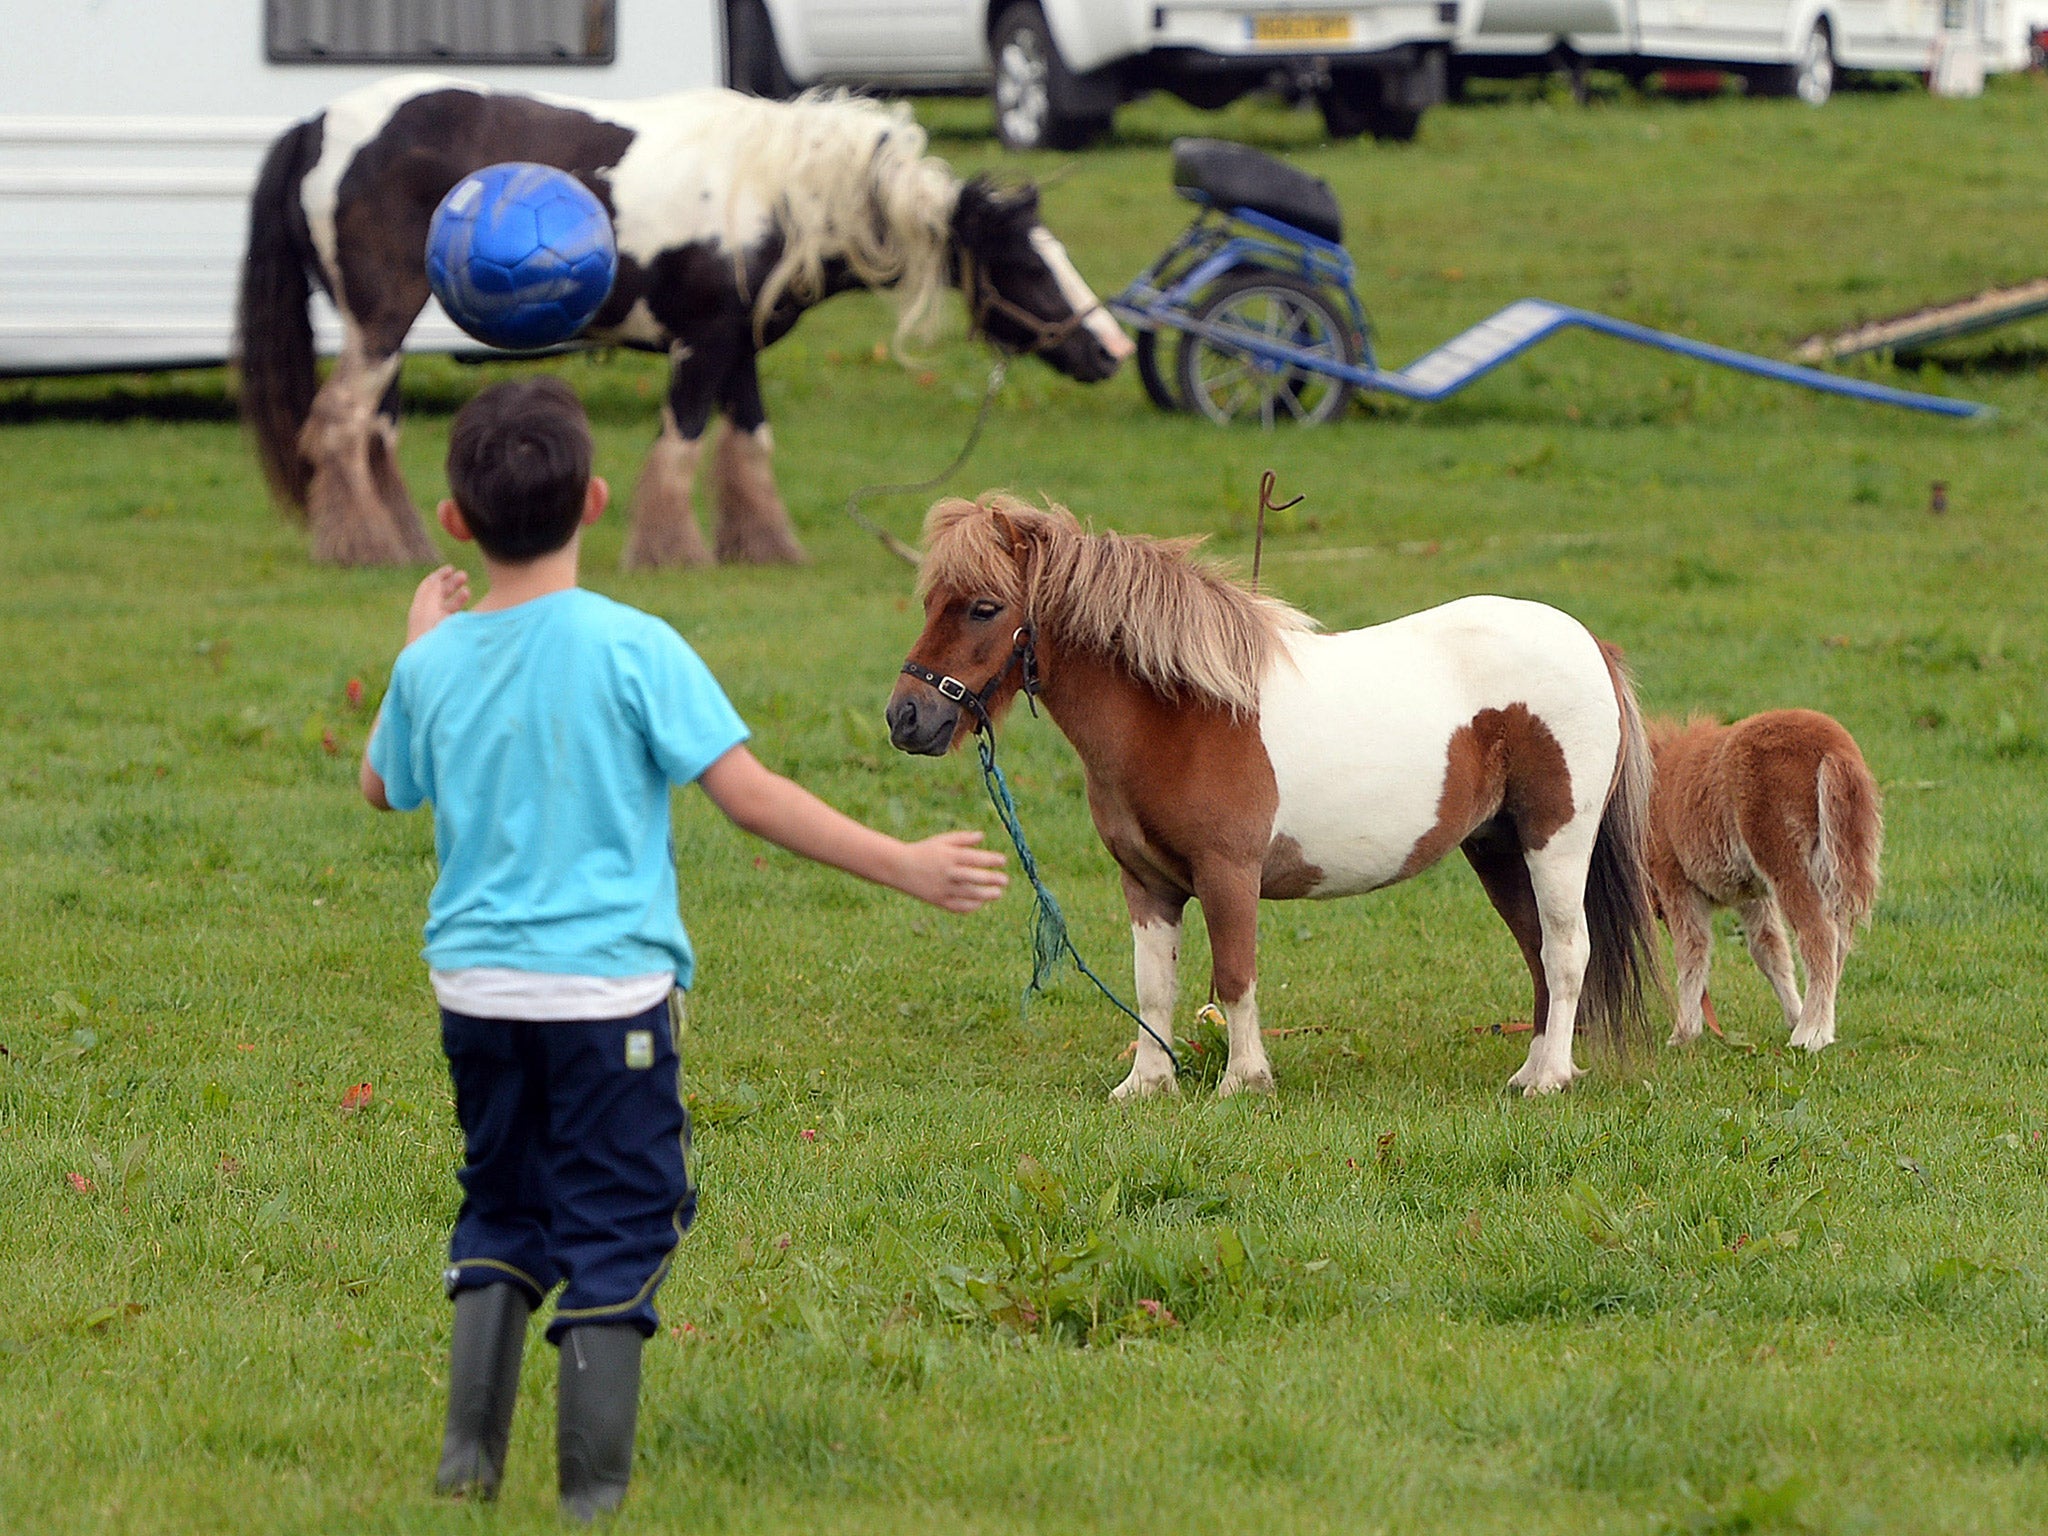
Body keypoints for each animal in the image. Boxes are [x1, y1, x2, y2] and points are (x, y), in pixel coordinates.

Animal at [245, 75, 1138, 569]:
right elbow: (679, 448)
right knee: (338, 426)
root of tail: (317, 127)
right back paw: (359, 550)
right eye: (1028, 266)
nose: (1113, 349)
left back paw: (400, 545)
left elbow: (749, 449)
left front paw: (764, 548)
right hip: (382, 322)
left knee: (374, 434)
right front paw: (670, 553)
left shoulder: (738, 349)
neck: (777, 192)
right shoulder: (700, 347)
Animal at [888, 499, 1654, 1097]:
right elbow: (1153, 987)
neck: (1181, 714)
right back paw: (1532, 1070)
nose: (906, 718)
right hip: (1496, 848)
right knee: (1537, 953)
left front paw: (1244, 1080)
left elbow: (1233, 976)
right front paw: (1146, 1085)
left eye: (984, 608)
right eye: (928, 602)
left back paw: (1550, 1079)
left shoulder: (1229, 874)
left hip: (1555, 840)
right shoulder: (1146, 883)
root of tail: (1589, 642)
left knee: (1566, 950)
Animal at [1654, 712, 1875, 1056]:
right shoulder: (1751, 892)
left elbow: (1692, 947)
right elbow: (1769, 948)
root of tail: (1835, 749)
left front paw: (1683, 1033)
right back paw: (1816, 1023)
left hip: (1787, 862)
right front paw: (1793, 1014)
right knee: (1840, 939)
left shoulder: (1675, 879)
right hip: (1836, 865)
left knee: (1819, 934)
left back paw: (1811, 1034)